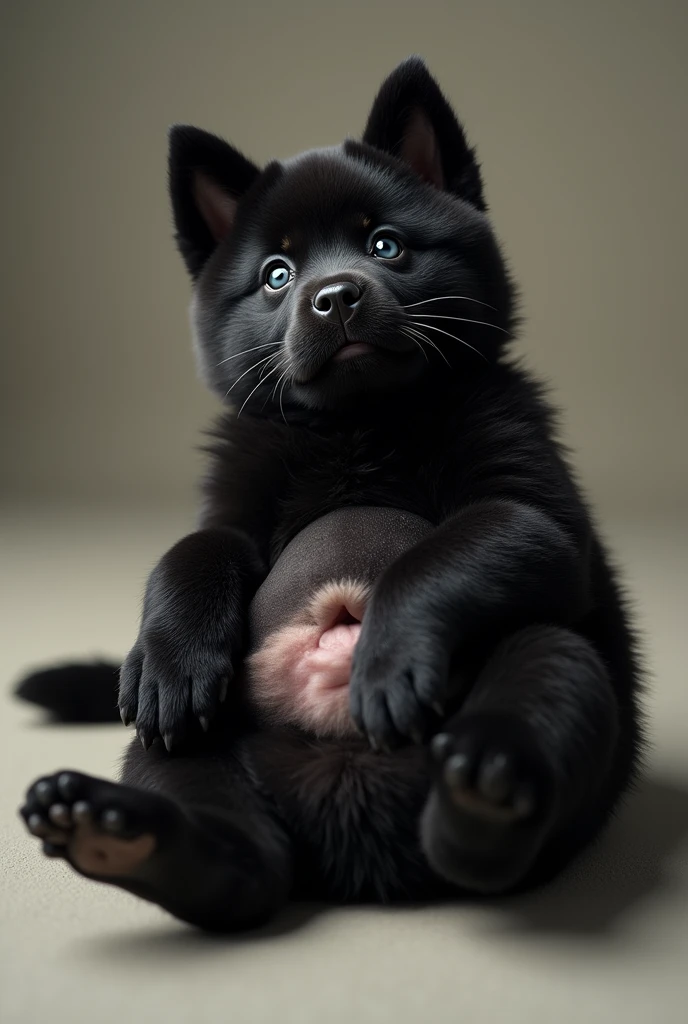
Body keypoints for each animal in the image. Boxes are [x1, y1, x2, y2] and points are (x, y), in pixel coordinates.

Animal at [18, 58, 642, 929]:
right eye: (277, 276)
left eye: (386, 244)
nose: (336, 294)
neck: (357, 426)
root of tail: (356, 838)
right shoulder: (233, 503)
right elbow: (193, 552)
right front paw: (173, 659)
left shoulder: (533, 510)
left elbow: (444, 555)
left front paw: (385, 658)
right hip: (179, 752)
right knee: (242, 866)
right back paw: (122, 832)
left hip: (555, 664)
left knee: (508, 763)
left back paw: (483, 787)